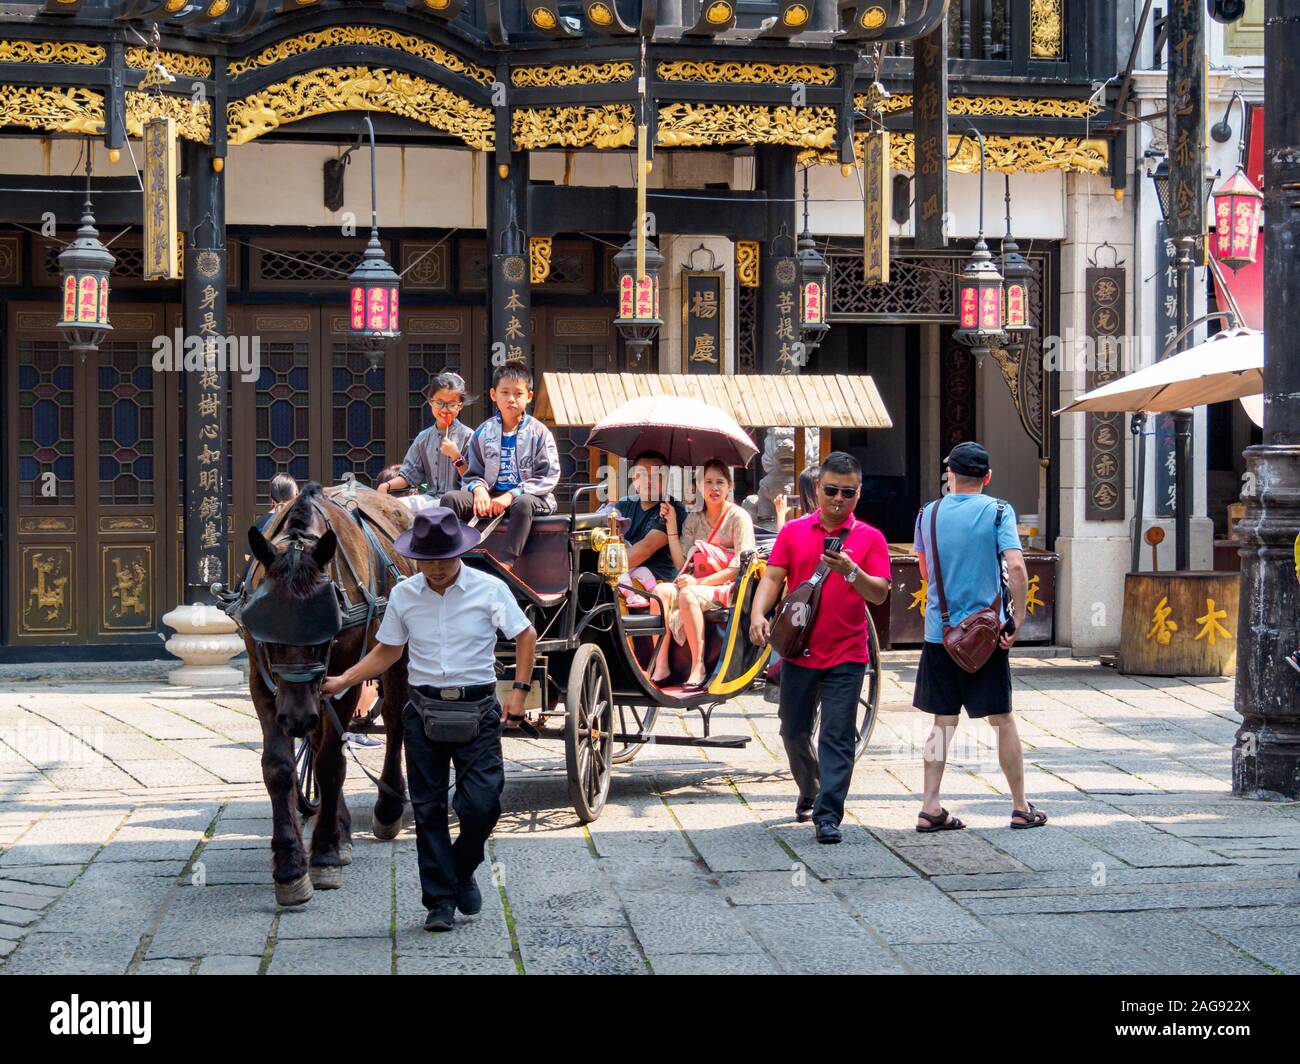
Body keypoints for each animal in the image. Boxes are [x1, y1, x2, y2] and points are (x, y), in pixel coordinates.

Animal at [237, 481, 410, 905]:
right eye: (269, 639)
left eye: (323, 637)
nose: (296, 718)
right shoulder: (262, 679)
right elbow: (280, 767)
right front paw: (290, 867)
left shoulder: (346, 674)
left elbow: (332, 761)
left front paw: (326, 855)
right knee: (318, 742)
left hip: (396, 654)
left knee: (396, 721)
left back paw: (387, 808)